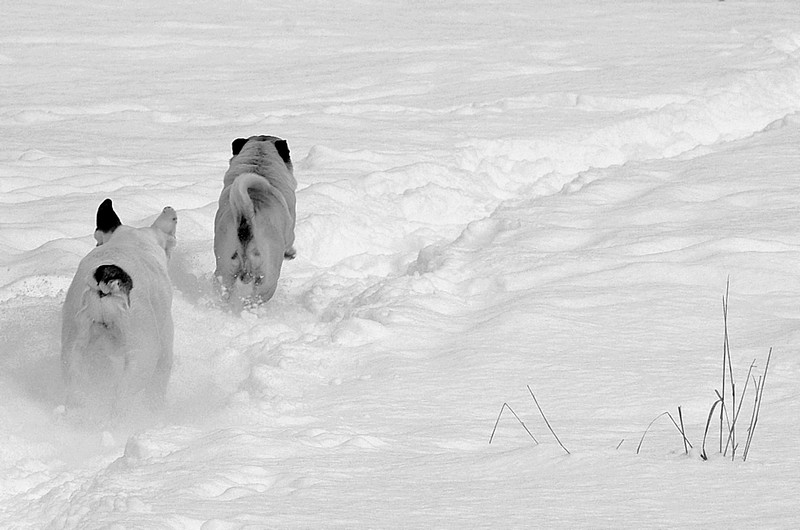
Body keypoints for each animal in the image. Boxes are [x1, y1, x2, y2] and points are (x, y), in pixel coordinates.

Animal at [61, 197, 177, 416]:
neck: (131, 243)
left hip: (74, 346)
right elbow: (158, 387)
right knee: (122, 398)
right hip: (142, 354)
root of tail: (108, 283)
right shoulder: (165, 347)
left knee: (76, 386)